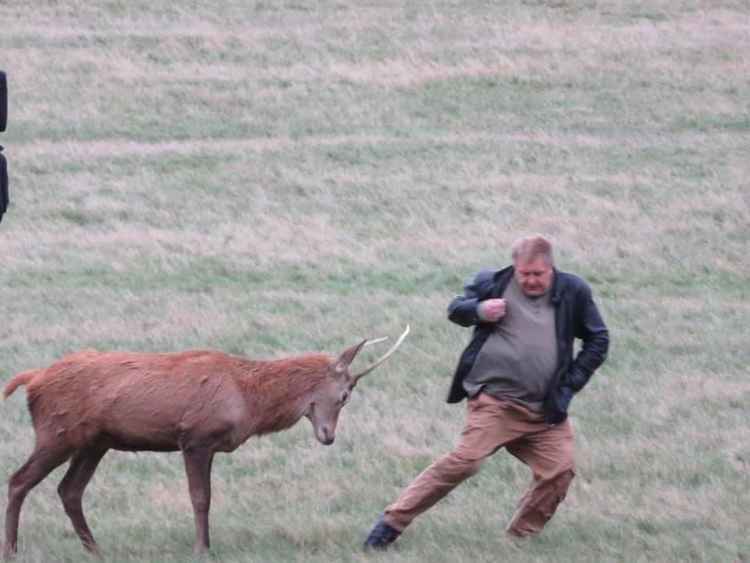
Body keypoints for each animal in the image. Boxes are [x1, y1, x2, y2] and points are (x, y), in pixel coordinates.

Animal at [1, 326, 412, 560]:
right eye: (344, 395)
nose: (329, 436)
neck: (248, 399)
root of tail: (32, 380)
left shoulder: (209, 445)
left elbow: (207, 497)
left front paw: (206, 545)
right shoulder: (195, 437)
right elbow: (200, 497)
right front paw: (201, 548)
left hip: (94, 442)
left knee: (69, 490)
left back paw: (95, 549)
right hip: (57, 432)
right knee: (19, 480)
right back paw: (13, 548)